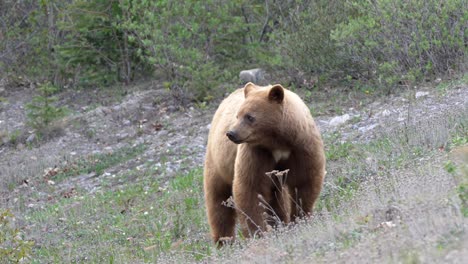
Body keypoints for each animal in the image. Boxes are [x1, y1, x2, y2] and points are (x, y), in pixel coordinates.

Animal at [203, 81, 328, 244]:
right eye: (238, 115)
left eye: (249, 117)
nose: (231, 133)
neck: (278, 142)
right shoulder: (257, 153)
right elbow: (250, 188)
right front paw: (258, 232)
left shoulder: (302, 146)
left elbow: (304, 182)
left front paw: (300, 219)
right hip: (218, 163)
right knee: (218, 202)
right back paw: (224, 241)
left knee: (276, 198)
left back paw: (280, 223)